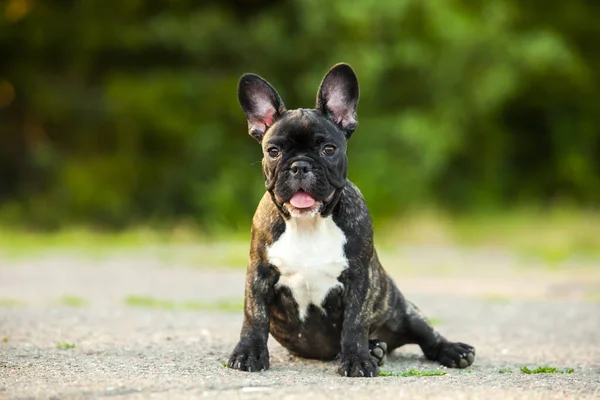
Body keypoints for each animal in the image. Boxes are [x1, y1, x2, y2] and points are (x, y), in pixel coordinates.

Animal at [227, 64, 476, 376]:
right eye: (274, 151)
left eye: (328, 149)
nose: (300, 165)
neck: (308, 223)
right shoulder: (259, 274)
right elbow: (254, 316)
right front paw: (249, 353)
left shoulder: (359, 278)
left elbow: (355, 323)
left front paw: (357, 358)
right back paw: (377, 348)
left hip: (403, 310)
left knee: (427, 337)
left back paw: (448, 351)